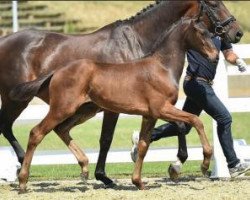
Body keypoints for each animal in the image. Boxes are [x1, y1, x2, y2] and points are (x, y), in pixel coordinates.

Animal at [0, 0, 242, 186]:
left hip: (78, 109)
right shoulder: (132, 108)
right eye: (214, 4)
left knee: (52, 129)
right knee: (20, 129)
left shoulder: (146, 110)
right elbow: (107, 139)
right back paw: (23, 170)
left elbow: (160, 135)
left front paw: (164, 168)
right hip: (27, 103)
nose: (237, 32)